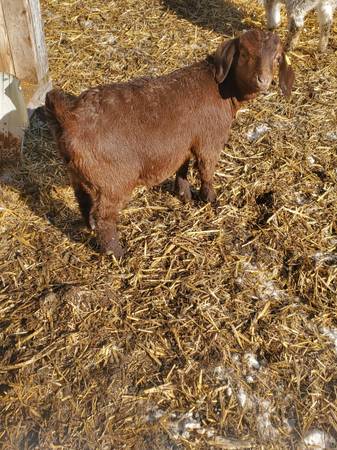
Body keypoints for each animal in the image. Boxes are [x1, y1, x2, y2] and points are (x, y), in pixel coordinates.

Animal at [45, 29, 294, 256]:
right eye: (244, 54)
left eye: (277, 58)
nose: (264, 81)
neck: (220, 87)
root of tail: (70, 117)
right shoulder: (209, 140)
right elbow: (206, 170)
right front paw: (210, 199)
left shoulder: (183, 144)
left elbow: (183, 165)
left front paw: (184, 193)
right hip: (113, 181)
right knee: (104, 216)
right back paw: (116, 252)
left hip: (80, 175)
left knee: (84, 202)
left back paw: (90, 228)